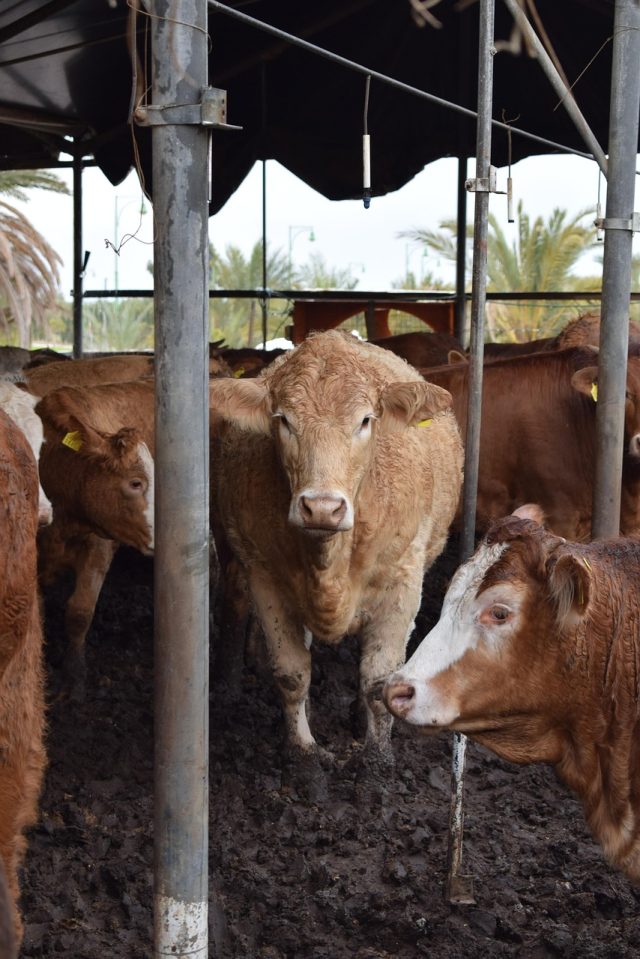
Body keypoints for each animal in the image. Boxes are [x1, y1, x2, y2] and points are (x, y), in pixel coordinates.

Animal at [209, 330, 463, 784]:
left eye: (365, 420)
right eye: (284, 420)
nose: (322, 507)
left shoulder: (402, 582)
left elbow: (378, 680)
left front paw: (377, 768)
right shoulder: (264, 577)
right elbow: (292, 671)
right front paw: (304, 755)